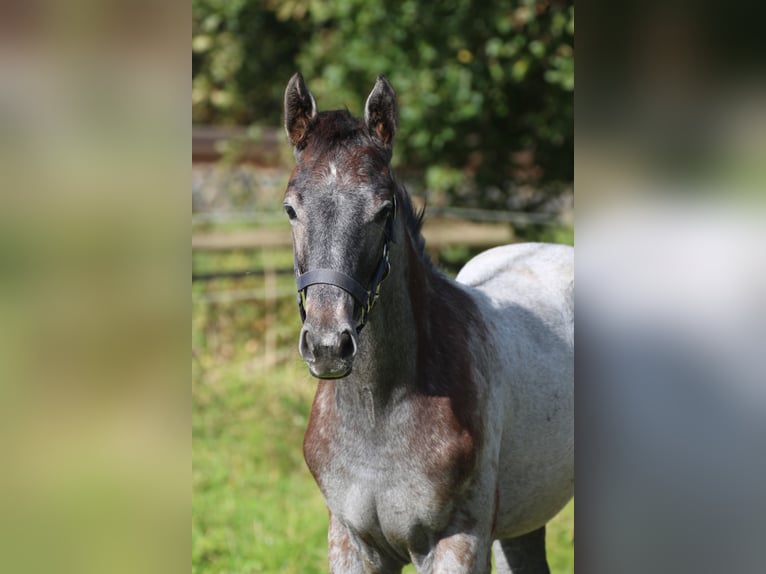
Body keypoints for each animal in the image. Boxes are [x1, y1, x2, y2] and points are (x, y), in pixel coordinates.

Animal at [284, 74, 572, 572]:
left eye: (383, 211)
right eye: (290, 209)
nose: (327, 345)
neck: (380, 412)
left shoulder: (457, 542)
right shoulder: (350, 542)